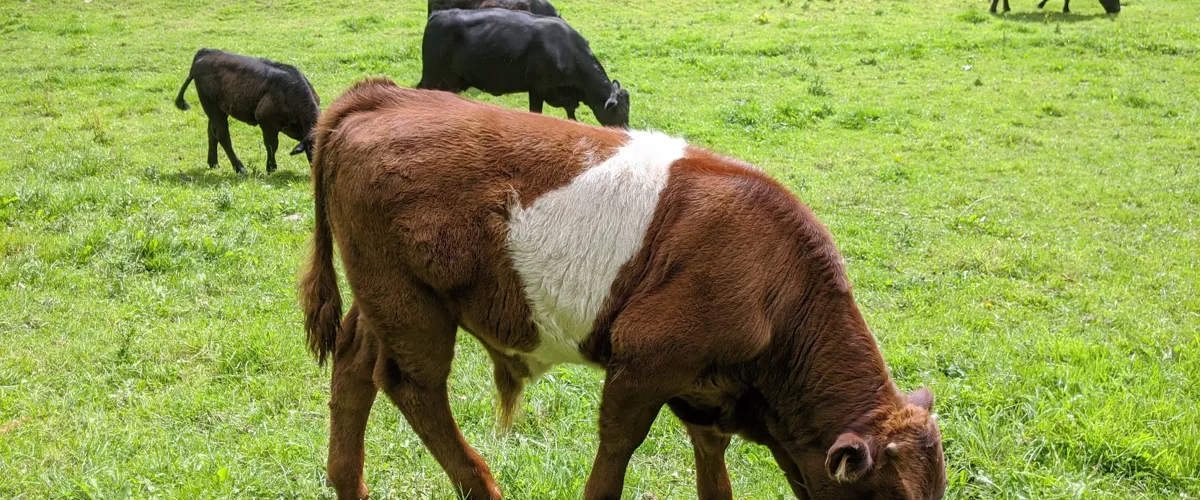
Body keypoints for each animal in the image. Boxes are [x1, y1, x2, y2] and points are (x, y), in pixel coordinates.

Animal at [174, 48, 320, 175]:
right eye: (312, 150)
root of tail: (205, 51)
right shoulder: (267, 123)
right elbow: (272, 145)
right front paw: (271, 168)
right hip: (212, 107)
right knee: (222, 135)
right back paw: (240, 168)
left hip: (219, 109)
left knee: (212, 132)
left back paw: (213, 163)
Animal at [300, 78, 946, 500]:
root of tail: (386, 94)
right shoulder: (643, 363)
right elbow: (616, 454)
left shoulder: (706, 391)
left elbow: (713, 470)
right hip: (413, 304)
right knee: (413, 387)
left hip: (382, 298)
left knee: (354, 363)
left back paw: (347, 483)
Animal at [417, 9, 630, 128]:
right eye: (619, 112)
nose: (627, 130)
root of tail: (438, 15)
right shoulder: (538, 89)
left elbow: (572, 118)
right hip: (433, 75)